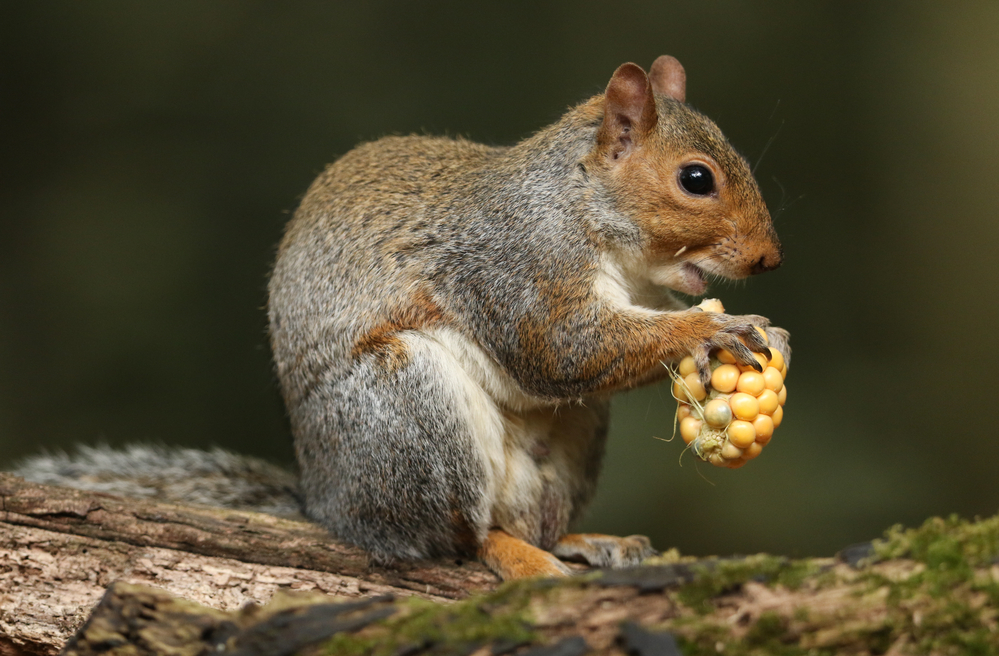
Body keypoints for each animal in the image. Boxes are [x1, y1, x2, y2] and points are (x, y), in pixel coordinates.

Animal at [7, 56, 788, 580]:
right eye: (696, 178)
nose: (769, 259)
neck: (584, 207)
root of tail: (330, 502)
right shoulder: (515, 263)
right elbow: (560, 349)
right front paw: (710, 330)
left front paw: (757, 334)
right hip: (405, 410)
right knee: (459, 537)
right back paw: (521, 559)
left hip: (569, 440)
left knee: (524, 516)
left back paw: (580, 543)